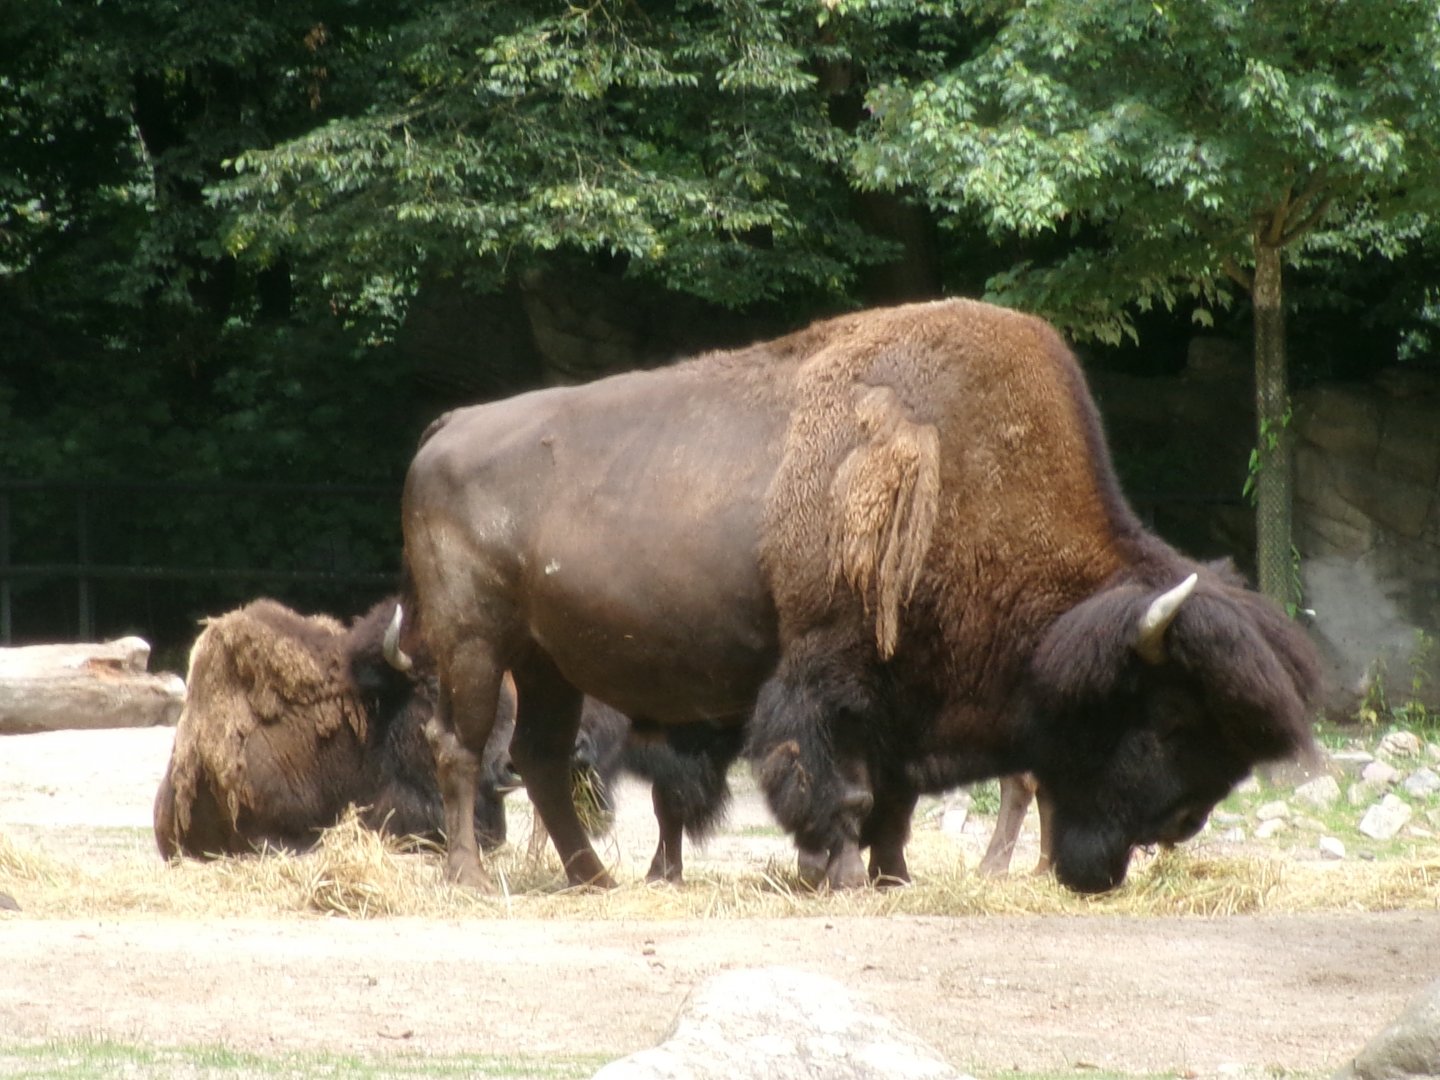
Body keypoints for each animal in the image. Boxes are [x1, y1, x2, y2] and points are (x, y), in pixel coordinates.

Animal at [394, 298, 1320, 894]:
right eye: (1168, 718)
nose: (1181, 823)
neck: (977, 481)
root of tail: (448, 428)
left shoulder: (903, 698)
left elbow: (897, 804)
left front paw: (892, 875)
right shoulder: (829, 678)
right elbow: (843, 786)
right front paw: (838, 872)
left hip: (546, 662)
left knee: (543, 760)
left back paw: (592, 880)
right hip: (475, 644)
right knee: (462, 748)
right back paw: (470, 879)